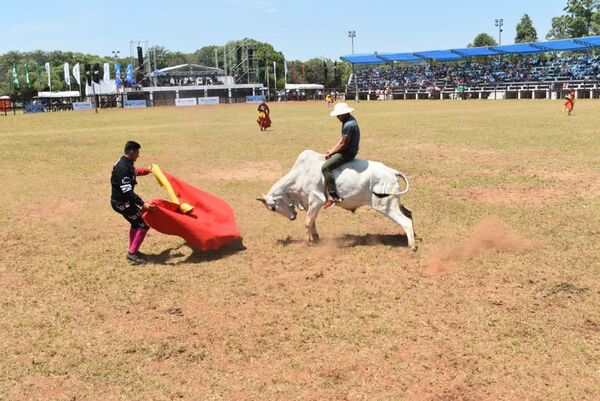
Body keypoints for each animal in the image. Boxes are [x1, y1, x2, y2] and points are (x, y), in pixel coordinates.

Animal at [258, 150, 418, 250]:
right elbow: (312, 221)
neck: (300, 174)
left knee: (405, 221)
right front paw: (315, 238)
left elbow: (308, 222)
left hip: (386, 206)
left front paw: (305, 243)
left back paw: (412, 246)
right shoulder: (310, 203)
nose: (292, 217)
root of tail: (392, 172)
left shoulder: (316, 200)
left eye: (272, 207)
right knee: (409, 213)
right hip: (395, 203)